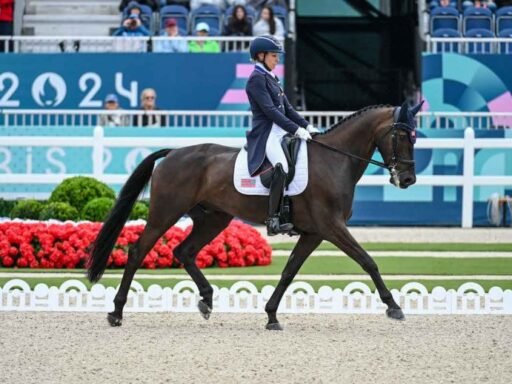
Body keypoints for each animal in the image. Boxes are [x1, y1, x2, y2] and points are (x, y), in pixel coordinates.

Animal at [87, 102, 420, 330]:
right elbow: (368, 261)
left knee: (184, 251)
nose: (407, 180)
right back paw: (116, 313)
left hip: (214, 218)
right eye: (401, 135)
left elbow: (289, 272)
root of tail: (172, 153)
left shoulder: (314, 233)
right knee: (138, 251)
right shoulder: (331, 227)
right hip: (165, 213)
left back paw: (206, 299)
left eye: (415, 137)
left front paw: (271, 315)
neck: (334, 160)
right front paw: (394, 307)